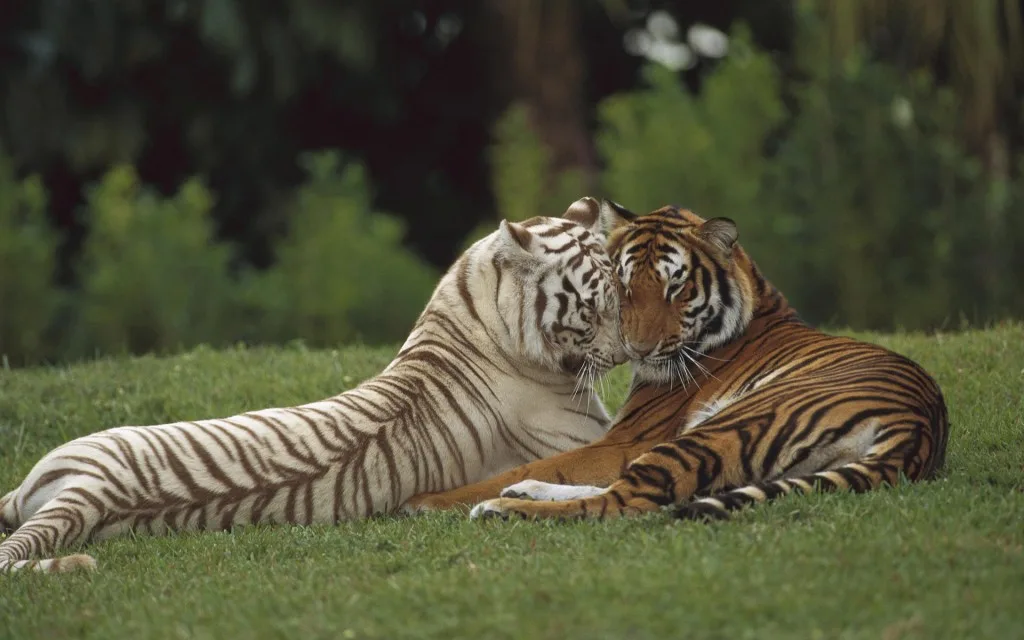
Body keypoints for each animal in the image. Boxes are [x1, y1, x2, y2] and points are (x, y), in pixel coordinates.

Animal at [0, 199, 626, 573]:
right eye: (593, 308)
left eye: (623, 295)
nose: (628, 352)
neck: (476, 305)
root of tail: (91, 490)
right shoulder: (588, 437)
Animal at [402, 199, 949, 522]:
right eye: (624, 286)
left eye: (676, 288)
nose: (637, 350)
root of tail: (919, 428)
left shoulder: (629, 438)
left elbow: (544, 462)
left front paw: (429, 500)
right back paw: (519, 495)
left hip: (722, 427)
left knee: (625, 500)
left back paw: (497, 507)